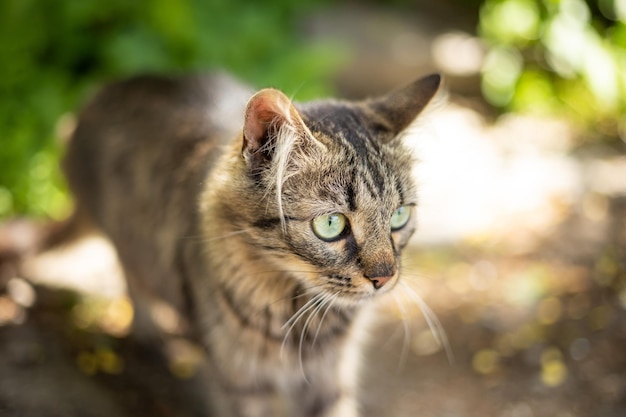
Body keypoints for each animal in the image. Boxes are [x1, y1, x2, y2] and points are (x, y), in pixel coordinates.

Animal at [59, 72, 438, 416]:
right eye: (331, 224)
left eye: (400, 217)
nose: (384, 278)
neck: (299, 314)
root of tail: (103, 91)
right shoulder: (242, 384)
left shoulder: (330, 379)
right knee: (131, 277)